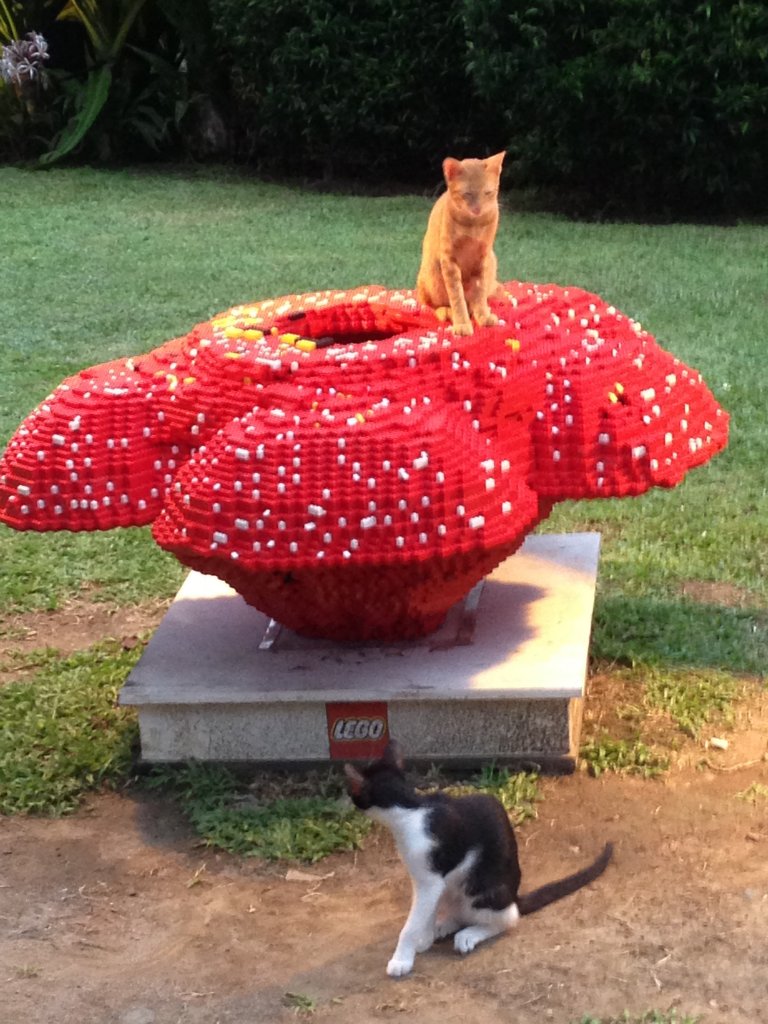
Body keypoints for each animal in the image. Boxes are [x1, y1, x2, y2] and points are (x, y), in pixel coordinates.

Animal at [345, 741, 613, 978]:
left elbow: (411, 925)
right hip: (454, 887)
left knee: (508, 918)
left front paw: (402, 959)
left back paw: (469, 934)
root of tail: (514, 896)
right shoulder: (426, 881)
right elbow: (425, 912)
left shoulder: (430, 879)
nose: (349, 800)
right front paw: (425, 938)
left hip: (485, 890)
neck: (410, 809)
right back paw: (445, 925)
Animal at [416, 151, 506, 336]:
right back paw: (445, 311)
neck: (473, 225)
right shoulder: (449, 261)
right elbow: (457, 296)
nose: (478, 209)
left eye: (488, 193)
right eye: (468, 194)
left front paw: (483, 315)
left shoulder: (483, 258)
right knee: (433, 305)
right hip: (432, 271)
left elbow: (479, 292)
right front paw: (462, 322)